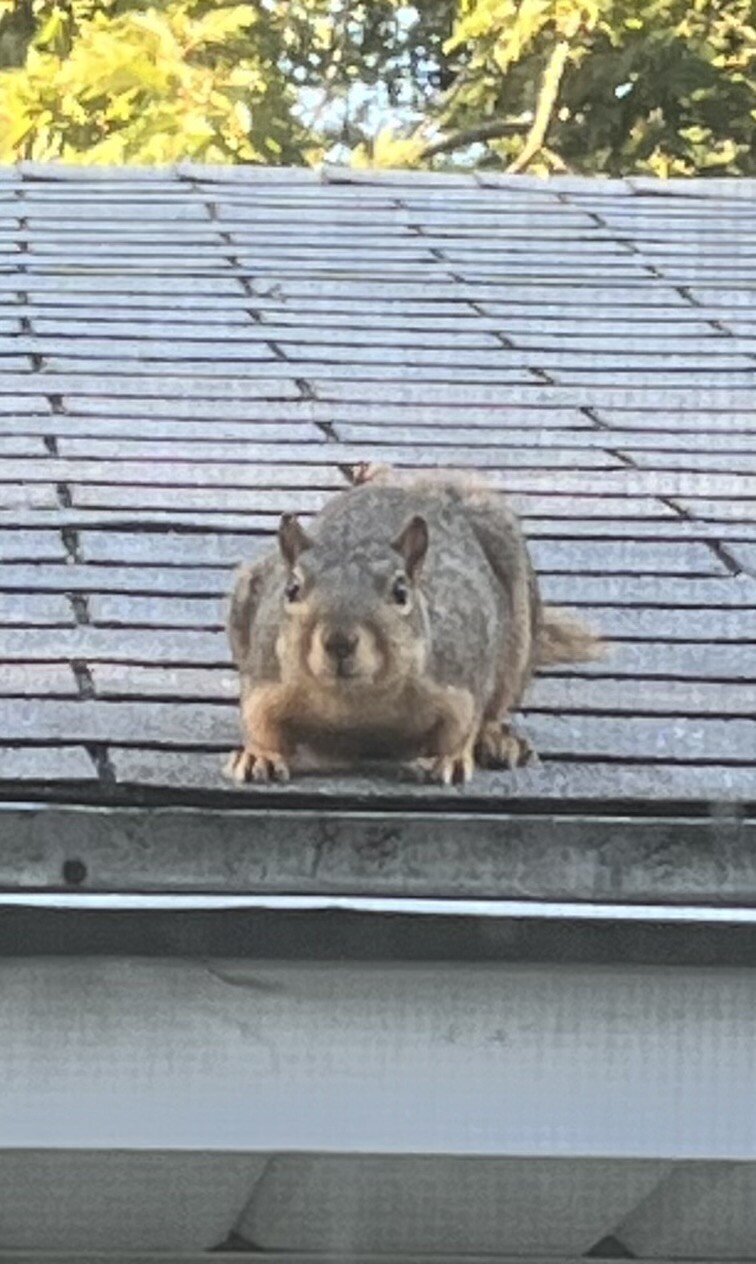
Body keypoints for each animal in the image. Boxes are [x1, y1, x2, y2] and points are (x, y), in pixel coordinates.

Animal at [226, 463, 605, 785]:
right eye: (291, 588)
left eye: (400, 591)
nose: (339, 641)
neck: (356, 701)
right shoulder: (267, 677)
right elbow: (258, 719)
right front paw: (258, 755)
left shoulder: (460, 674)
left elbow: (463, 722)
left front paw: (449, 758)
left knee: (497, 705)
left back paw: (497, 739)